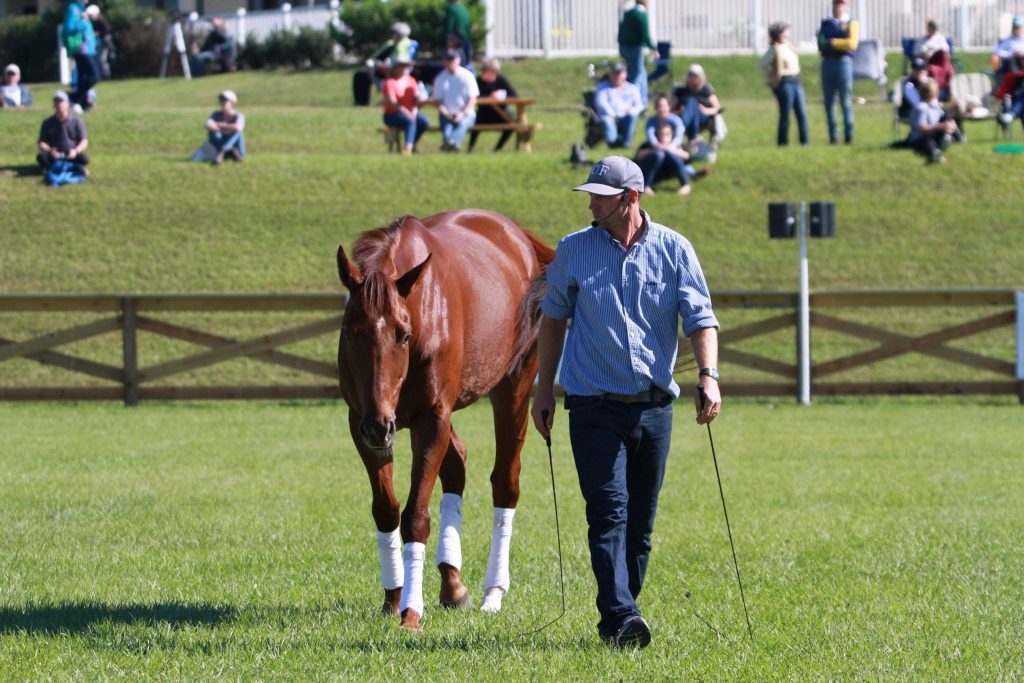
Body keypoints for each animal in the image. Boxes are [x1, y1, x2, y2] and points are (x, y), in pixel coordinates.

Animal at [337, 208, 557, 630]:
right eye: (350, 332)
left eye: (403, 334)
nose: (379, 425)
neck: (422, 310)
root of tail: (519, 237)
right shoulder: (361, 421)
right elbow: (386, 510)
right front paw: (393, 598)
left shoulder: (430, 420)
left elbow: (416, 517)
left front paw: (410, 611)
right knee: (456, 465)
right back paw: (452, 583)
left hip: (514, 386)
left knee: (505, 482)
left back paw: (493, 592)